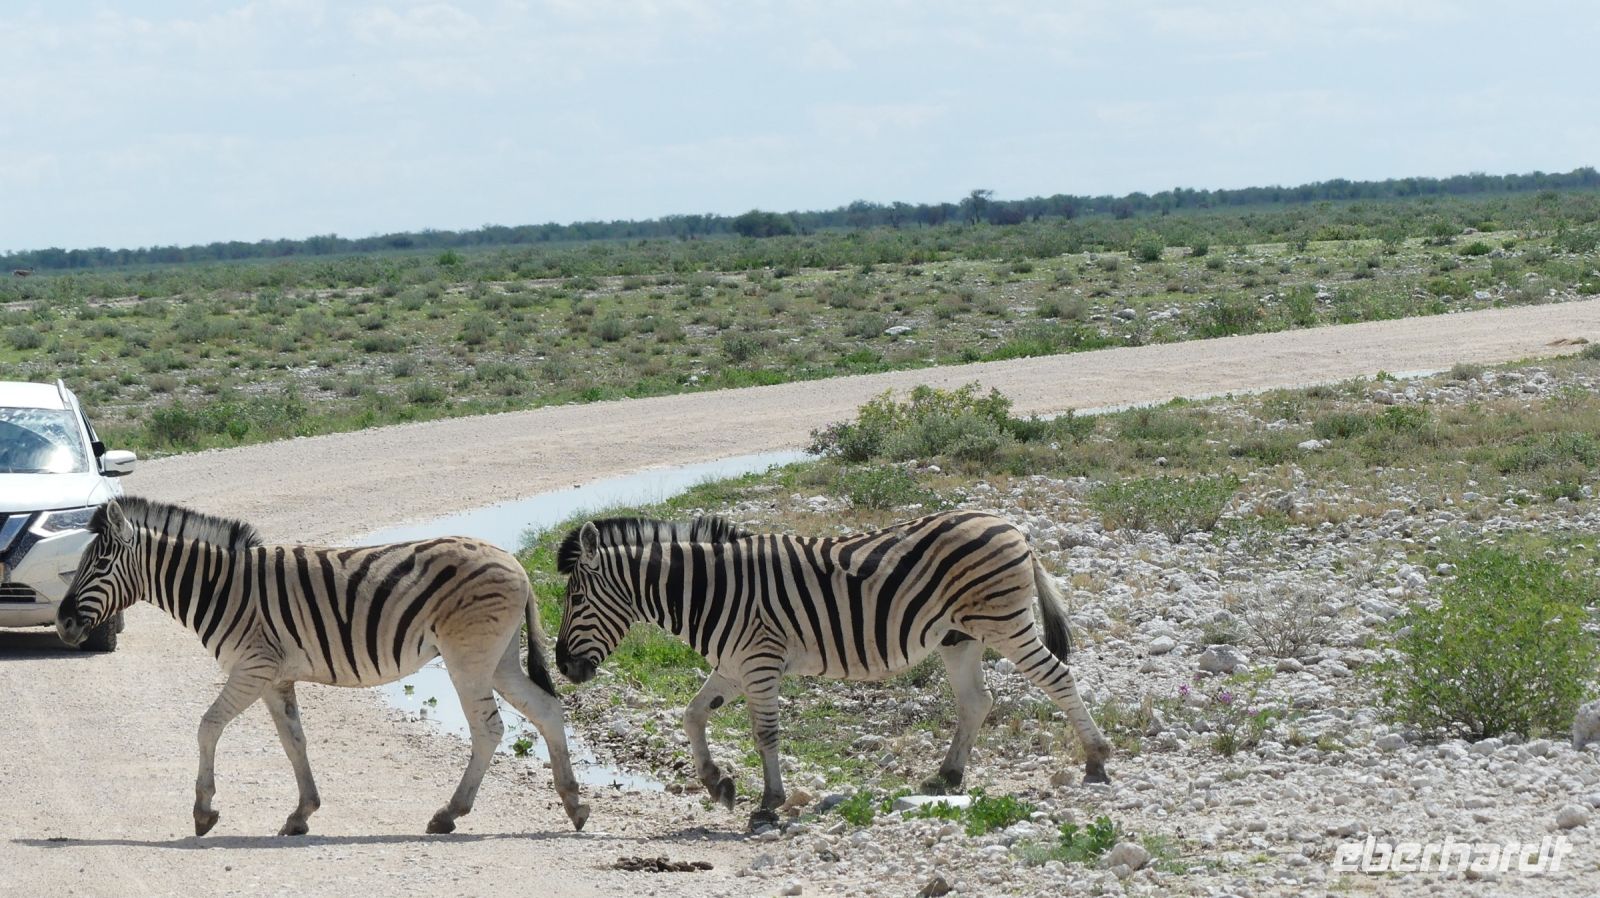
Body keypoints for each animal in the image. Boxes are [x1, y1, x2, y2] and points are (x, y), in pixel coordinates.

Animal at [54, 497, 589, 837]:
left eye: (98, 565)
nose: (62, 623)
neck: (218, 587)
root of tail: (515, 561)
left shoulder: (251, 667)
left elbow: (207, 726)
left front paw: (204, 812)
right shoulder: (274, 677)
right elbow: (294, 742)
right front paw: (302, 814)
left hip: (468, 656)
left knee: (489, 729)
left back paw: (449, 814)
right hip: (498, 658)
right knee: (546, 710)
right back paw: (575, 805)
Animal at [554, 510, 1110, 829]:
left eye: (575, 599)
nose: (562, 666)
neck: (710, 591)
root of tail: (1012, 524)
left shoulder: (759, 661)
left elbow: (765, 733)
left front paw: (768, 803)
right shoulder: (733, 666)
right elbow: (692, 715)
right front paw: (717, 784)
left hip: (1001, 621)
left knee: (1058, 677)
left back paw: (1096, 760)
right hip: (960, 636)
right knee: (977, 701)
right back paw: (947, 776)